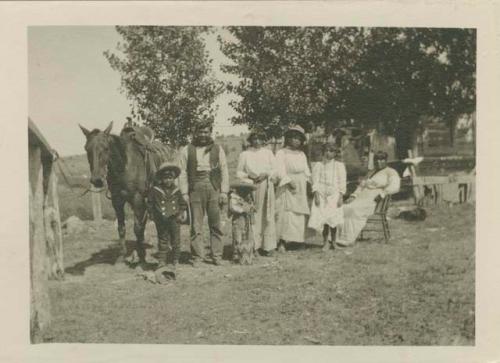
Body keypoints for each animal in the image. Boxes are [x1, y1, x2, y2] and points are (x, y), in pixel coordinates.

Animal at [79, 122, 178, 264]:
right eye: (87, 149)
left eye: (106, 148)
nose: (97, 180)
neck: (124, 166)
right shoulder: (117, 201)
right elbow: (121, 228)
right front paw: (122, 256)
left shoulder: (137, 199)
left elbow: (137, 228)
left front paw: (141, 256)